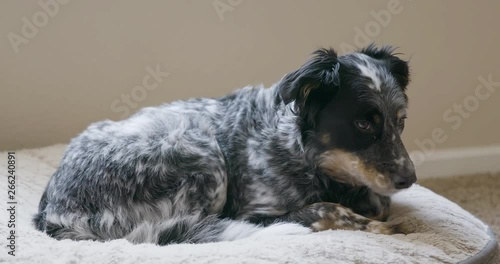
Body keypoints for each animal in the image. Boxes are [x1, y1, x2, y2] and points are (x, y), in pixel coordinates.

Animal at [33, 44, 416, 244]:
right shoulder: (253, 211)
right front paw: (380, 226)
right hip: (200, 152)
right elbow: (327, 209)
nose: (410, 179)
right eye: (363, 123)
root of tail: (51, 211)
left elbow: (377, 202)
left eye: (401, 121)